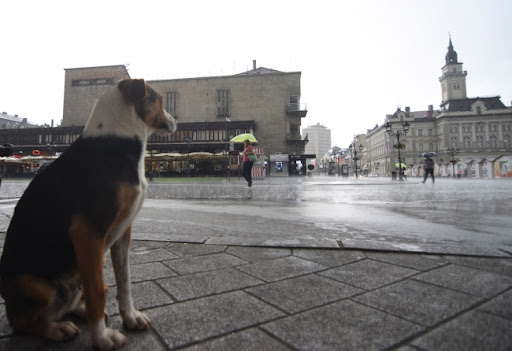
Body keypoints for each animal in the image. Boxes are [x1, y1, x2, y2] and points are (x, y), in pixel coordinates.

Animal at [0, 79, 176, 350]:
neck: (117, 139)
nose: (175, 121)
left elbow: (124, 281)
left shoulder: (123, 232)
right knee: (24, 321)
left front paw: (130, 317)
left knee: (64, 304)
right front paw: (102, 338)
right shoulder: (88, 232)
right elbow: (97, 292)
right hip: (38, 287)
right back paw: (57, 329)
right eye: (159, 99)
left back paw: (78, 311)